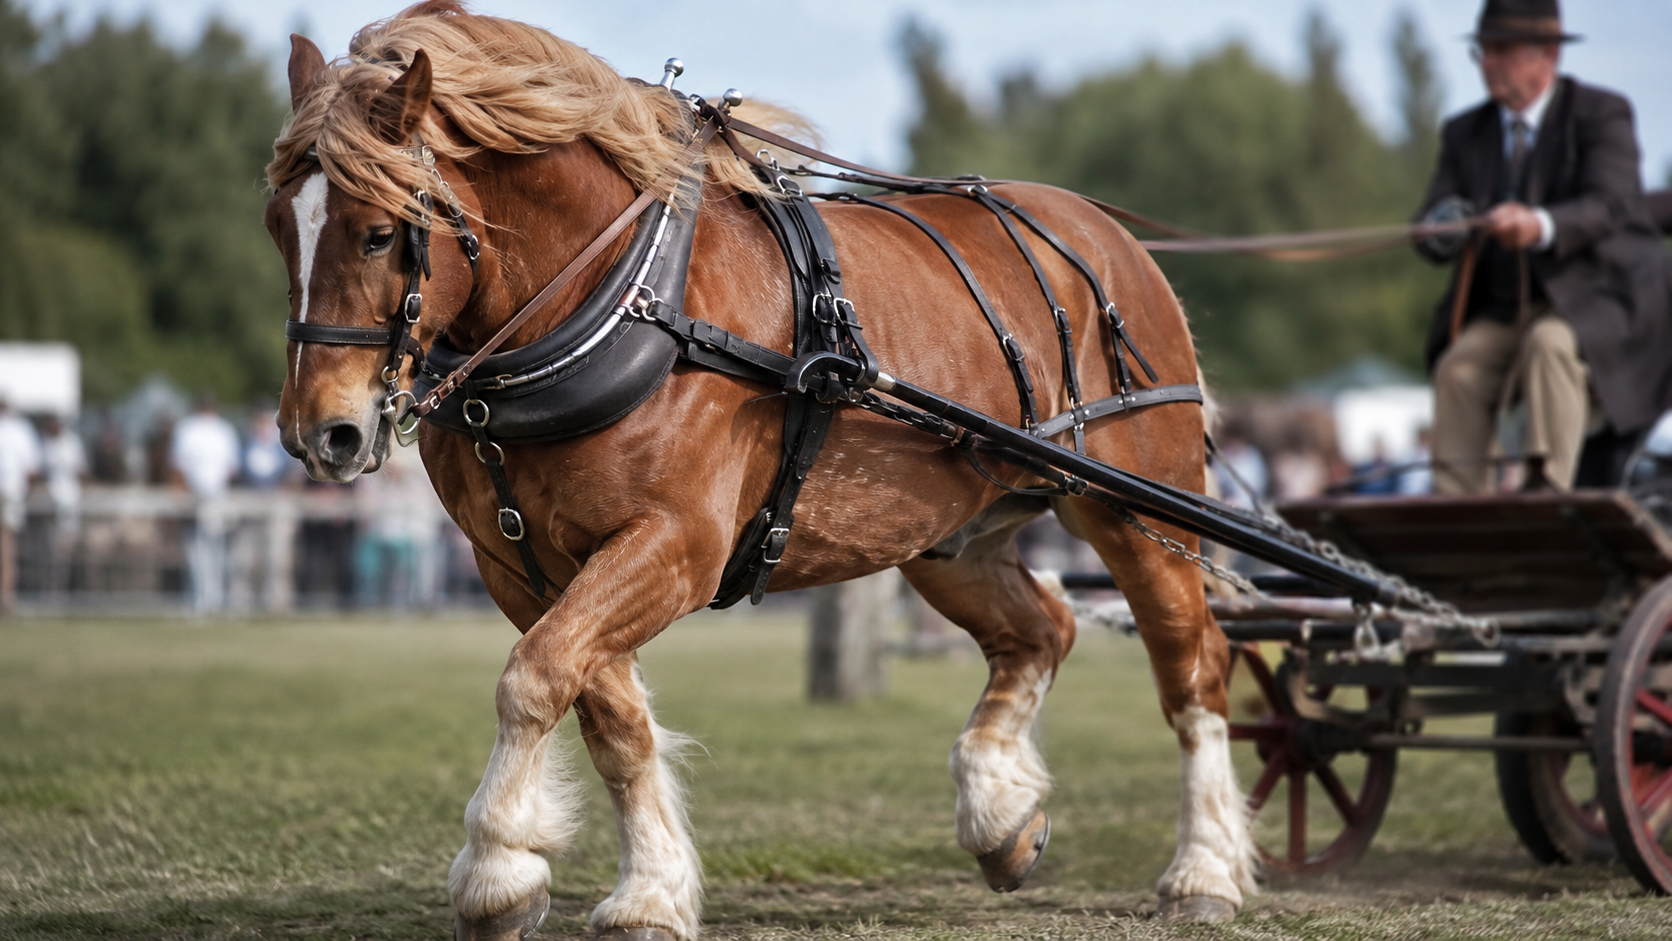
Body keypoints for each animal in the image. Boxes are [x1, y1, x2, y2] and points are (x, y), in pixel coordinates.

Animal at [265, 4, 1254, 938]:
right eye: (281, 227)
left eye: (379, 233)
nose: (322, 432)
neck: (626, 300)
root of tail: (1110, 238)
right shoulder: (518, 562)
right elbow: (606, 712)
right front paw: (649, 889)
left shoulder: (677, 544)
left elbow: (535, 677)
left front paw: (498, 868)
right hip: (949, 535)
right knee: (1042, 629)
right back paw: (1000, 813)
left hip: (1141, 514)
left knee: (1194, 668)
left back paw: (1202, 870)